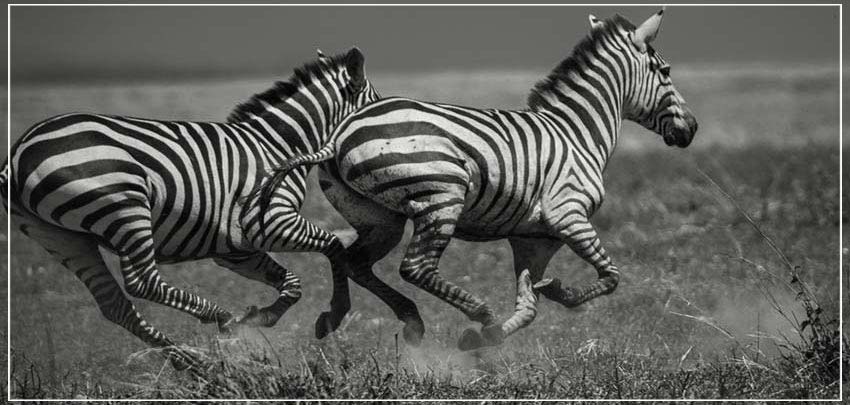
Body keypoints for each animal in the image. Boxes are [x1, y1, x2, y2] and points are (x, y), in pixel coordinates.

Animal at [2, 47, 384, 369]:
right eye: (378, 109)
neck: (277, 145)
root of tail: (19, 153)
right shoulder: (272, 222)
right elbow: (333, 247)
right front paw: (334, 315)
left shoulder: (236, 249)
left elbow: (292, 283)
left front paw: (261, 318)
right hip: (125, 206)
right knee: (142, 282)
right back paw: (218, 319)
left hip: (58, 235)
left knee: (114, 304)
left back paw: (192, 362)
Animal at [253, 9, 698, 351]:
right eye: (666, 70)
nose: (692, 129)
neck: (577, 133)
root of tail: (341, 130)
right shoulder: (568, 216)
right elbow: (610, 277)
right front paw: (559, 292)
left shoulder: (534, 238)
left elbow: (529, 307)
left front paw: (487, 339)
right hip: (441, 196)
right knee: (415, 267)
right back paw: (477, 312)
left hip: (380, 217)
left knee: (353, 260)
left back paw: (355, 317)